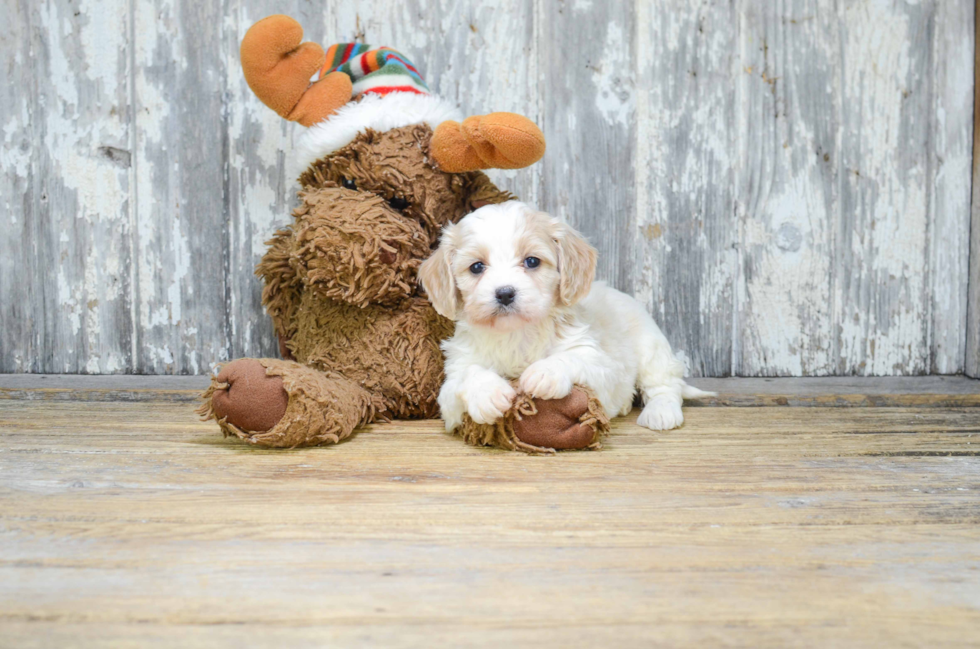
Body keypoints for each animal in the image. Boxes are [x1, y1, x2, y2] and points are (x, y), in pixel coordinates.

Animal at [418, 200, 708, 432]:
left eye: (532, 261)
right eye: (477, 267)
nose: (505, 293)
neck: (517, 334)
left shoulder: (601, 365)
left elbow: (572, 358)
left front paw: (545, 372)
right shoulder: (452, 386)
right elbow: (468, 376)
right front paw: (488, 392)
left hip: (651, 349)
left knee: (665, 385)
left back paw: (661, 412)